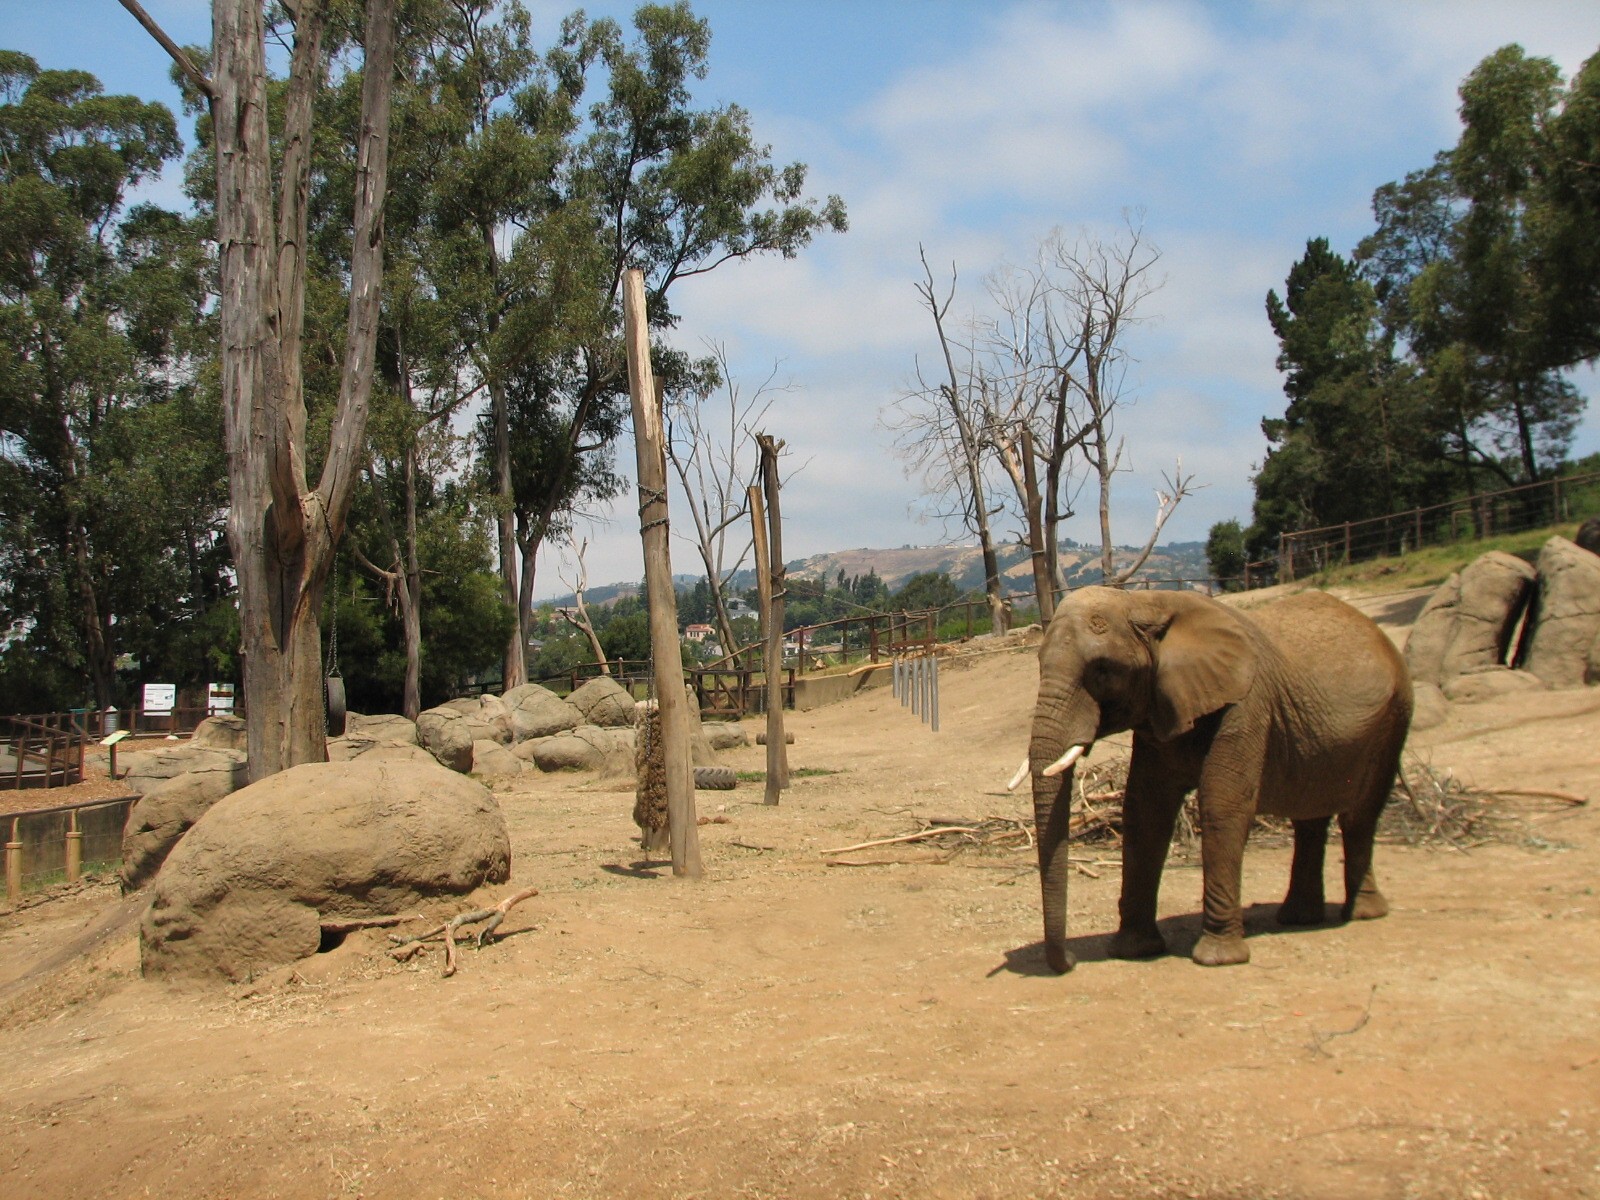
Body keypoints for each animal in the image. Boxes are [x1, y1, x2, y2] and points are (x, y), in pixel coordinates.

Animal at [1024, 586, 1412, 972]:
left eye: (1102, 670)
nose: (1070, 961)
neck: (1145, 602)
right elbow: (1146, 811)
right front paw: (1133, 950)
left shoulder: (1246, 705)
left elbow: (1222, 806)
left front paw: (1217, 959)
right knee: (1310, 817)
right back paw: (1300, 917)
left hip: (1394, 717)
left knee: (1360, 816)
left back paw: (1362, 913)